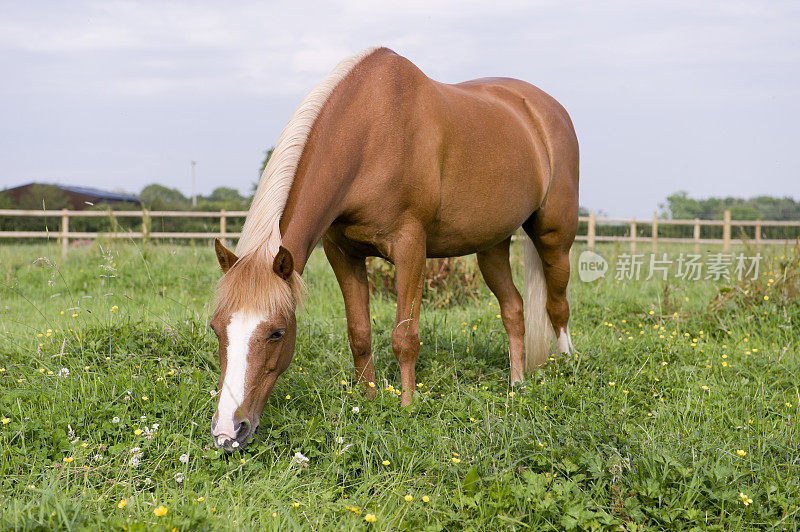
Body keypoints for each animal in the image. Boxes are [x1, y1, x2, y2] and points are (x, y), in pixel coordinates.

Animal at [209, 46, 580, 454]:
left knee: (557, 305)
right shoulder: (342, 253)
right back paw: (516, 385)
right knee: (514, 310)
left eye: (277, 332)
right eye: (216, 328)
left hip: (554, 238)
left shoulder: (410, 249)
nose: (228, 432)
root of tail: (544, 110)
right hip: (493, 245)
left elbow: (405, 338)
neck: (369, 135)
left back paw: (566, 367)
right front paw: (367, 401)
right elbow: (359, 334)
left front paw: (406, 408)